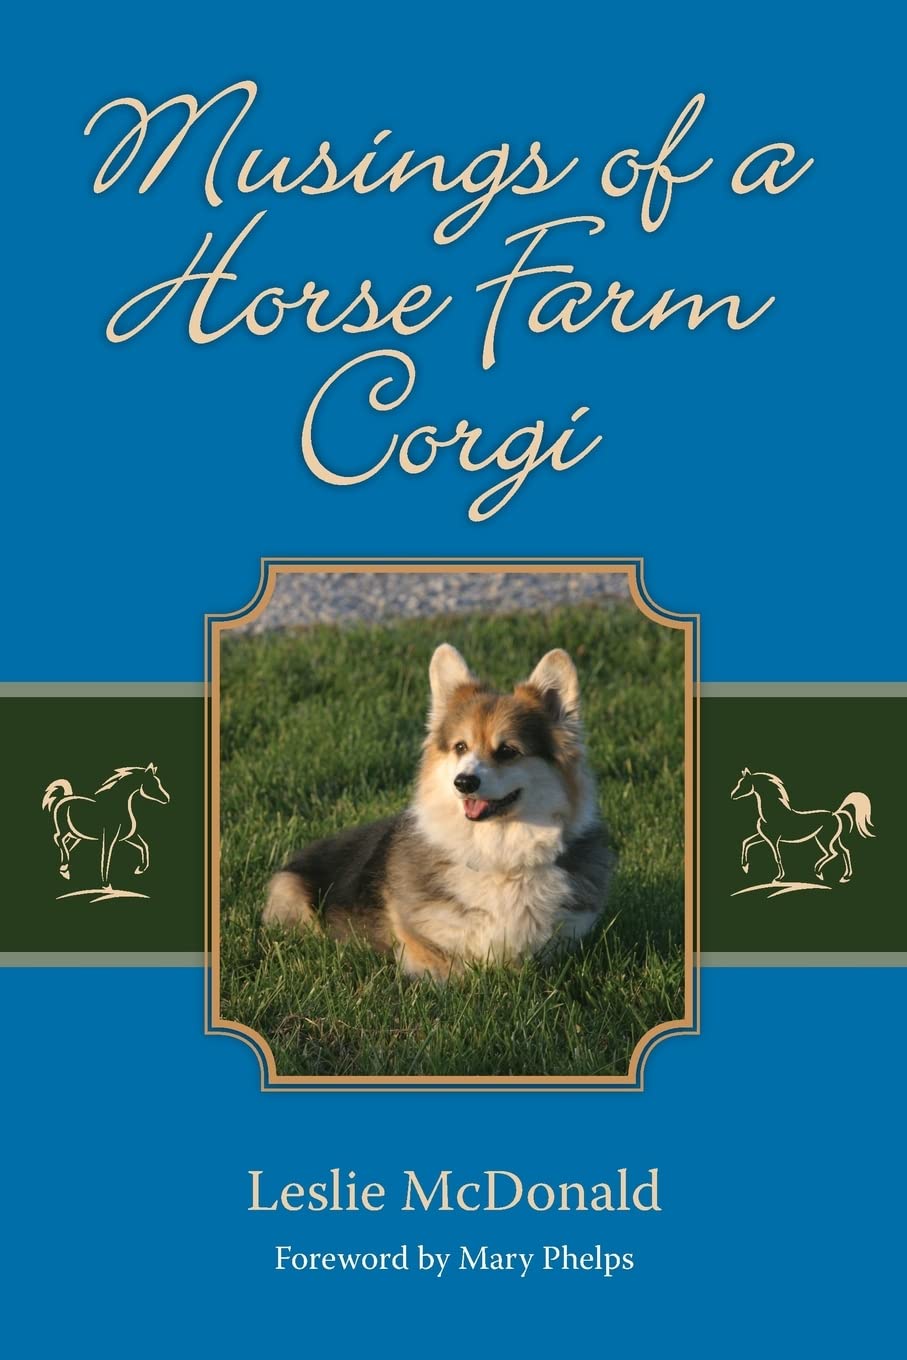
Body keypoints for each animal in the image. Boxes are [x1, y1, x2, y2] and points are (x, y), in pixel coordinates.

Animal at [42, 764, 170, 889]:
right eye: (152, 784)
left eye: (158, 782)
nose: (167, 799)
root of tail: (63, 799)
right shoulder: (109, 837)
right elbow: (106, 857)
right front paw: (106, 884)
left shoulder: (128, 836)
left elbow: (144, 846)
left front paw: (140, 869)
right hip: (64, 830)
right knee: (58, 838)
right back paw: (64, 868)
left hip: (75, 835)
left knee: (66, 845)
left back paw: (64, 868)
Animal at [730, 769, 873, 884]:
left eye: (743, 784)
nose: (732, 796)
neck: (773, 813)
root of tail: (835, 814)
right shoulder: (764, 836)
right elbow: (746, 842)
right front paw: (745, 866)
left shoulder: (773, 839)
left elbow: (777, 857)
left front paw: (778, 878)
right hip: (831, 839)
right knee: (844, 851)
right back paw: (844, 876)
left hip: (825, 839)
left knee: (833, 853)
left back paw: (819, 872)